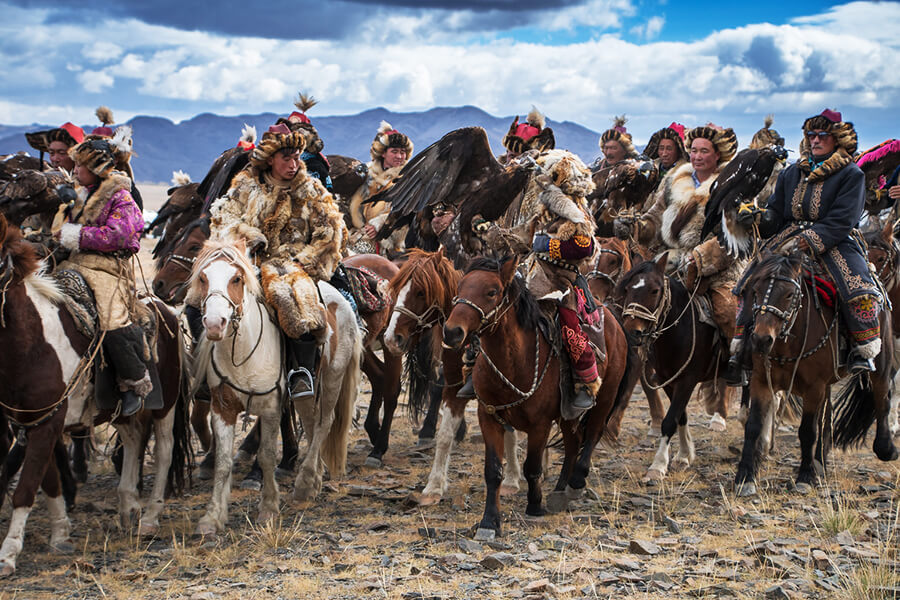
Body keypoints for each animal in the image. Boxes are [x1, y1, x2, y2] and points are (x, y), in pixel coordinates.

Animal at [0, 216, 190, 576]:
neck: (32, 343)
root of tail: (168, 312)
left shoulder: (46, 425)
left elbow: (26, 487)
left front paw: (8, 553)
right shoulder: (37, 422)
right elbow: (49, 481)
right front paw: (61, 532)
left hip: (167, 405)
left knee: (164, 452)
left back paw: (150, 517)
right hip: (122, 410)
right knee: (133, 439)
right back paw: (128, 504)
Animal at [190, 239, 362, 536]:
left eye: (236, 278)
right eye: (203, 277)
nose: (214, 324)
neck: (242, 351)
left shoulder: (270, 407)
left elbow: (267, 456)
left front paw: (268, 507)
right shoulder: (223, 407)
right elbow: (223, 461)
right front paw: (212, 517)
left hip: (333, 378)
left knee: (323, 424)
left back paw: (305, 482)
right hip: (305, 394)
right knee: (311, 422)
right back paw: (314, 479)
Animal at [442, 256, 636, 536]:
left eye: (492, 292)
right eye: (460, 288)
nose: (452, 332)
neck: (514, 362)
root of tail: (612, 318)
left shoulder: (539, 425)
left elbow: (532, 468)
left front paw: (534, 505)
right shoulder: (488, 416)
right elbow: (493, 471)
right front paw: (490, 520)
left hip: (606, 397)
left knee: (592, 436)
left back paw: (575, 483)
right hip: (568, 413)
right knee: (573, 443)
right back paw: (560, 490)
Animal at [616, 254, 740, 482]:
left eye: (655, 290)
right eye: (627, 289)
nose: (631, 332)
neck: (678, 330)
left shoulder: (687, 381)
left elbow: (670, 420)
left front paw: (658, 466)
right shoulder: (668, 380)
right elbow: (680, 416)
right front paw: (684, 455)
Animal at [736, 251, 896, 494]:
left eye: (789, 294)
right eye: (755, 290)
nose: (761, 340)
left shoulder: (814, 388)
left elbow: (807, 430)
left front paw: (805, 475)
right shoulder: (761, 381)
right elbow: (753, 426)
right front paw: (745, 476)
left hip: (881, 357)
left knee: (882, 397)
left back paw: (886, 448)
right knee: (827, 415)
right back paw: (820, 460)